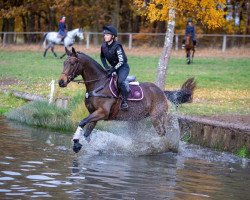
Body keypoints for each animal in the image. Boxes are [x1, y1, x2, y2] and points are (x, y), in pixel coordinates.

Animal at [57, 47, 196, 153]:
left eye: (73, 63)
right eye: (64, 63)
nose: (61, 82)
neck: (98, 85)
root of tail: (161, 91)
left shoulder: (102, 112)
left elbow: (82, 122)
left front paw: (76, 142)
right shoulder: (94, 114)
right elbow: (87, 133)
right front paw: (81, 145)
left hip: (157, 118)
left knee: (163, 134)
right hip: (134, 120)